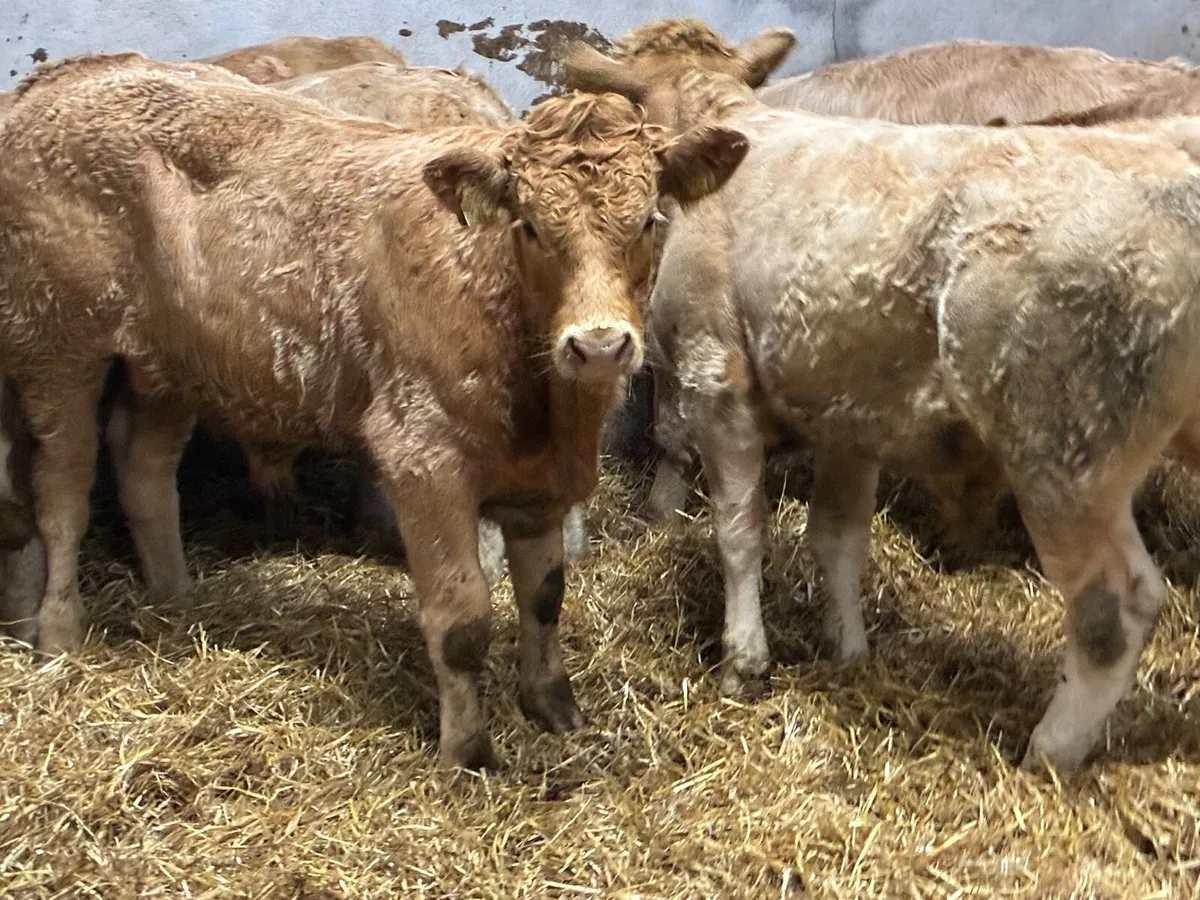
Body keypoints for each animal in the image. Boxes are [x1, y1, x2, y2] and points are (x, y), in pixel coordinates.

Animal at [0, 50, 748, 769]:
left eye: (649, 220)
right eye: (530, 226)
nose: (596, 346)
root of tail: (70, 76)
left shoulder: (541, 478)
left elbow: (543, 598)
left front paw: (555, 709)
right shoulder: (422, 457)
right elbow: (461, 619)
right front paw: (467, 753)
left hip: (169, 361)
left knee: (144, 471)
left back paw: (176, 598)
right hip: (57, 345)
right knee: (62, 492)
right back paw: (59, 633)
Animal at [565, 19, 1200, 773]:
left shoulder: (716, 379)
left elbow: (739, 532)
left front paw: (743, 662)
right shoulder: (850, 413)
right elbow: (838, 539)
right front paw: (849, 653)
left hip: (1064, 454)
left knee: (1115, 607)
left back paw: (1048, 751)